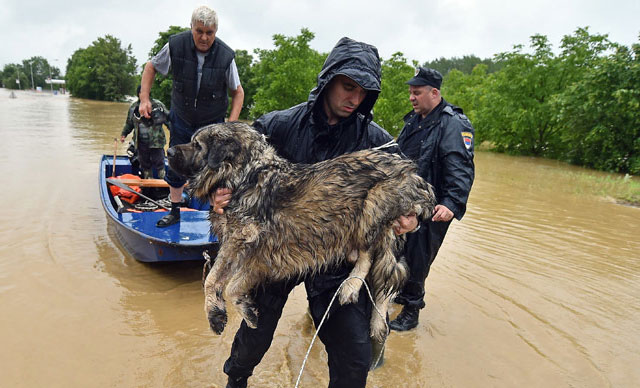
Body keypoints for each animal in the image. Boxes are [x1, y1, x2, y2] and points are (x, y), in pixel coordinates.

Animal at [166, 121, 436, 340]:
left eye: (197, 144)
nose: (168, 151)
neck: (242, 175)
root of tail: (416, 176)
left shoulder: (242, 237)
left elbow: (212, 280)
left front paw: (214, 315)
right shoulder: (256, 255)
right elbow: (232, 286)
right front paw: (246, 310)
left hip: (372, 204)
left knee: (371, 258)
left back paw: (351, 286)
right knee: (384, 270)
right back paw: (376, 321)